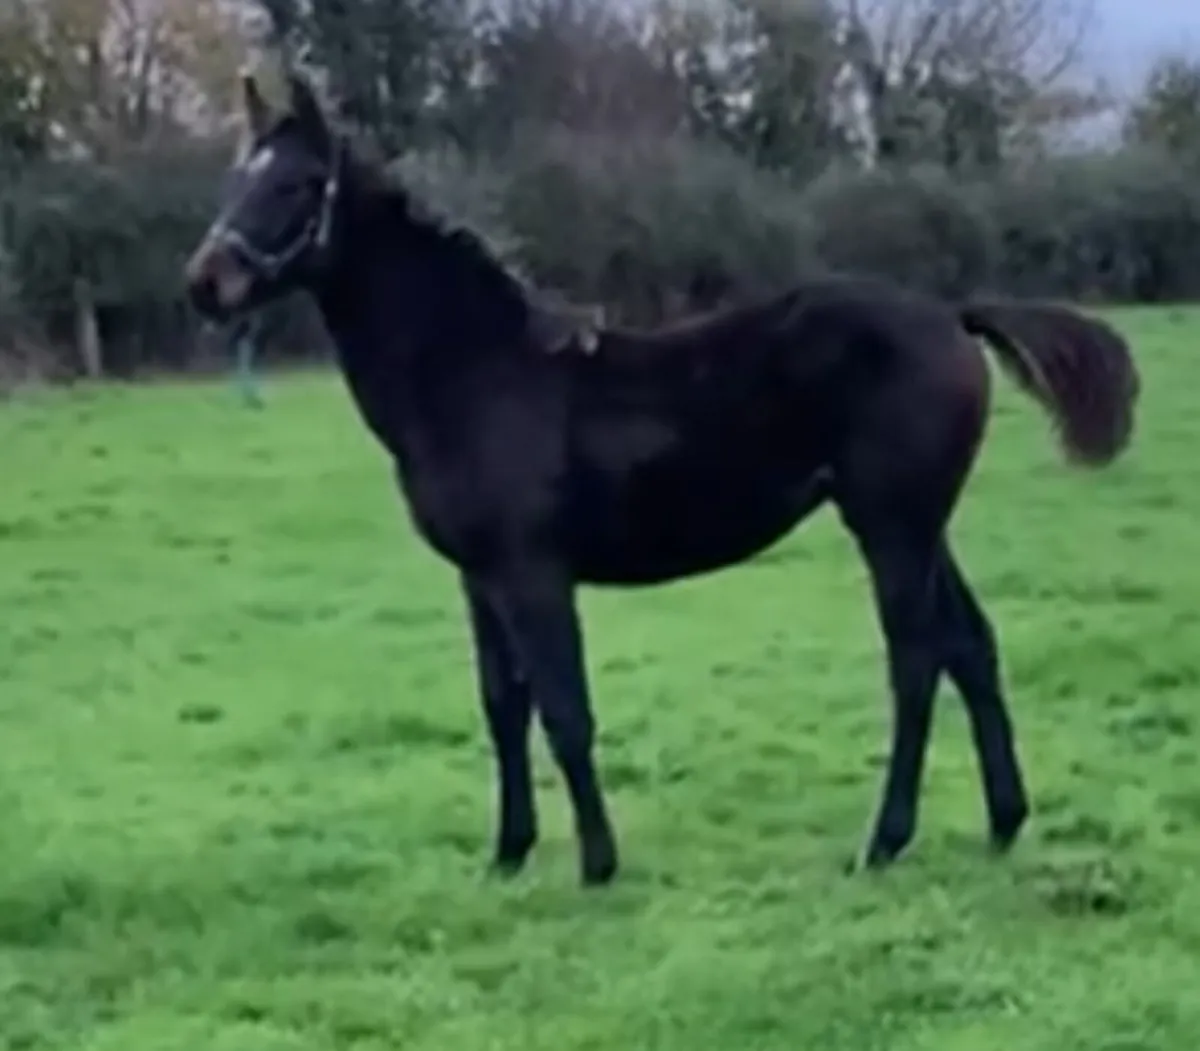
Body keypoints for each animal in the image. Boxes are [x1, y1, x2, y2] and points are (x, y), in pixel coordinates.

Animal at [184, 71, 1139, 886]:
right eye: (236, 177)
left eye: (300, 183)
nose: (205, 283)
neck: (476, 374)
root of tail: (950, 316)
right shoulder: (478, 577)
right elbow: (502, 706)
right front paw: (508, 854)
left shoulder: (533, 572)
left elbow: (564, 709)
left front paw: (597, 864)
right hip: (921, 525)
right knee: (971, 647)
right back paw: (1004, 822)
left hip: (891, 526)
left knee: (916, 660)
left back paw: (883, 841)